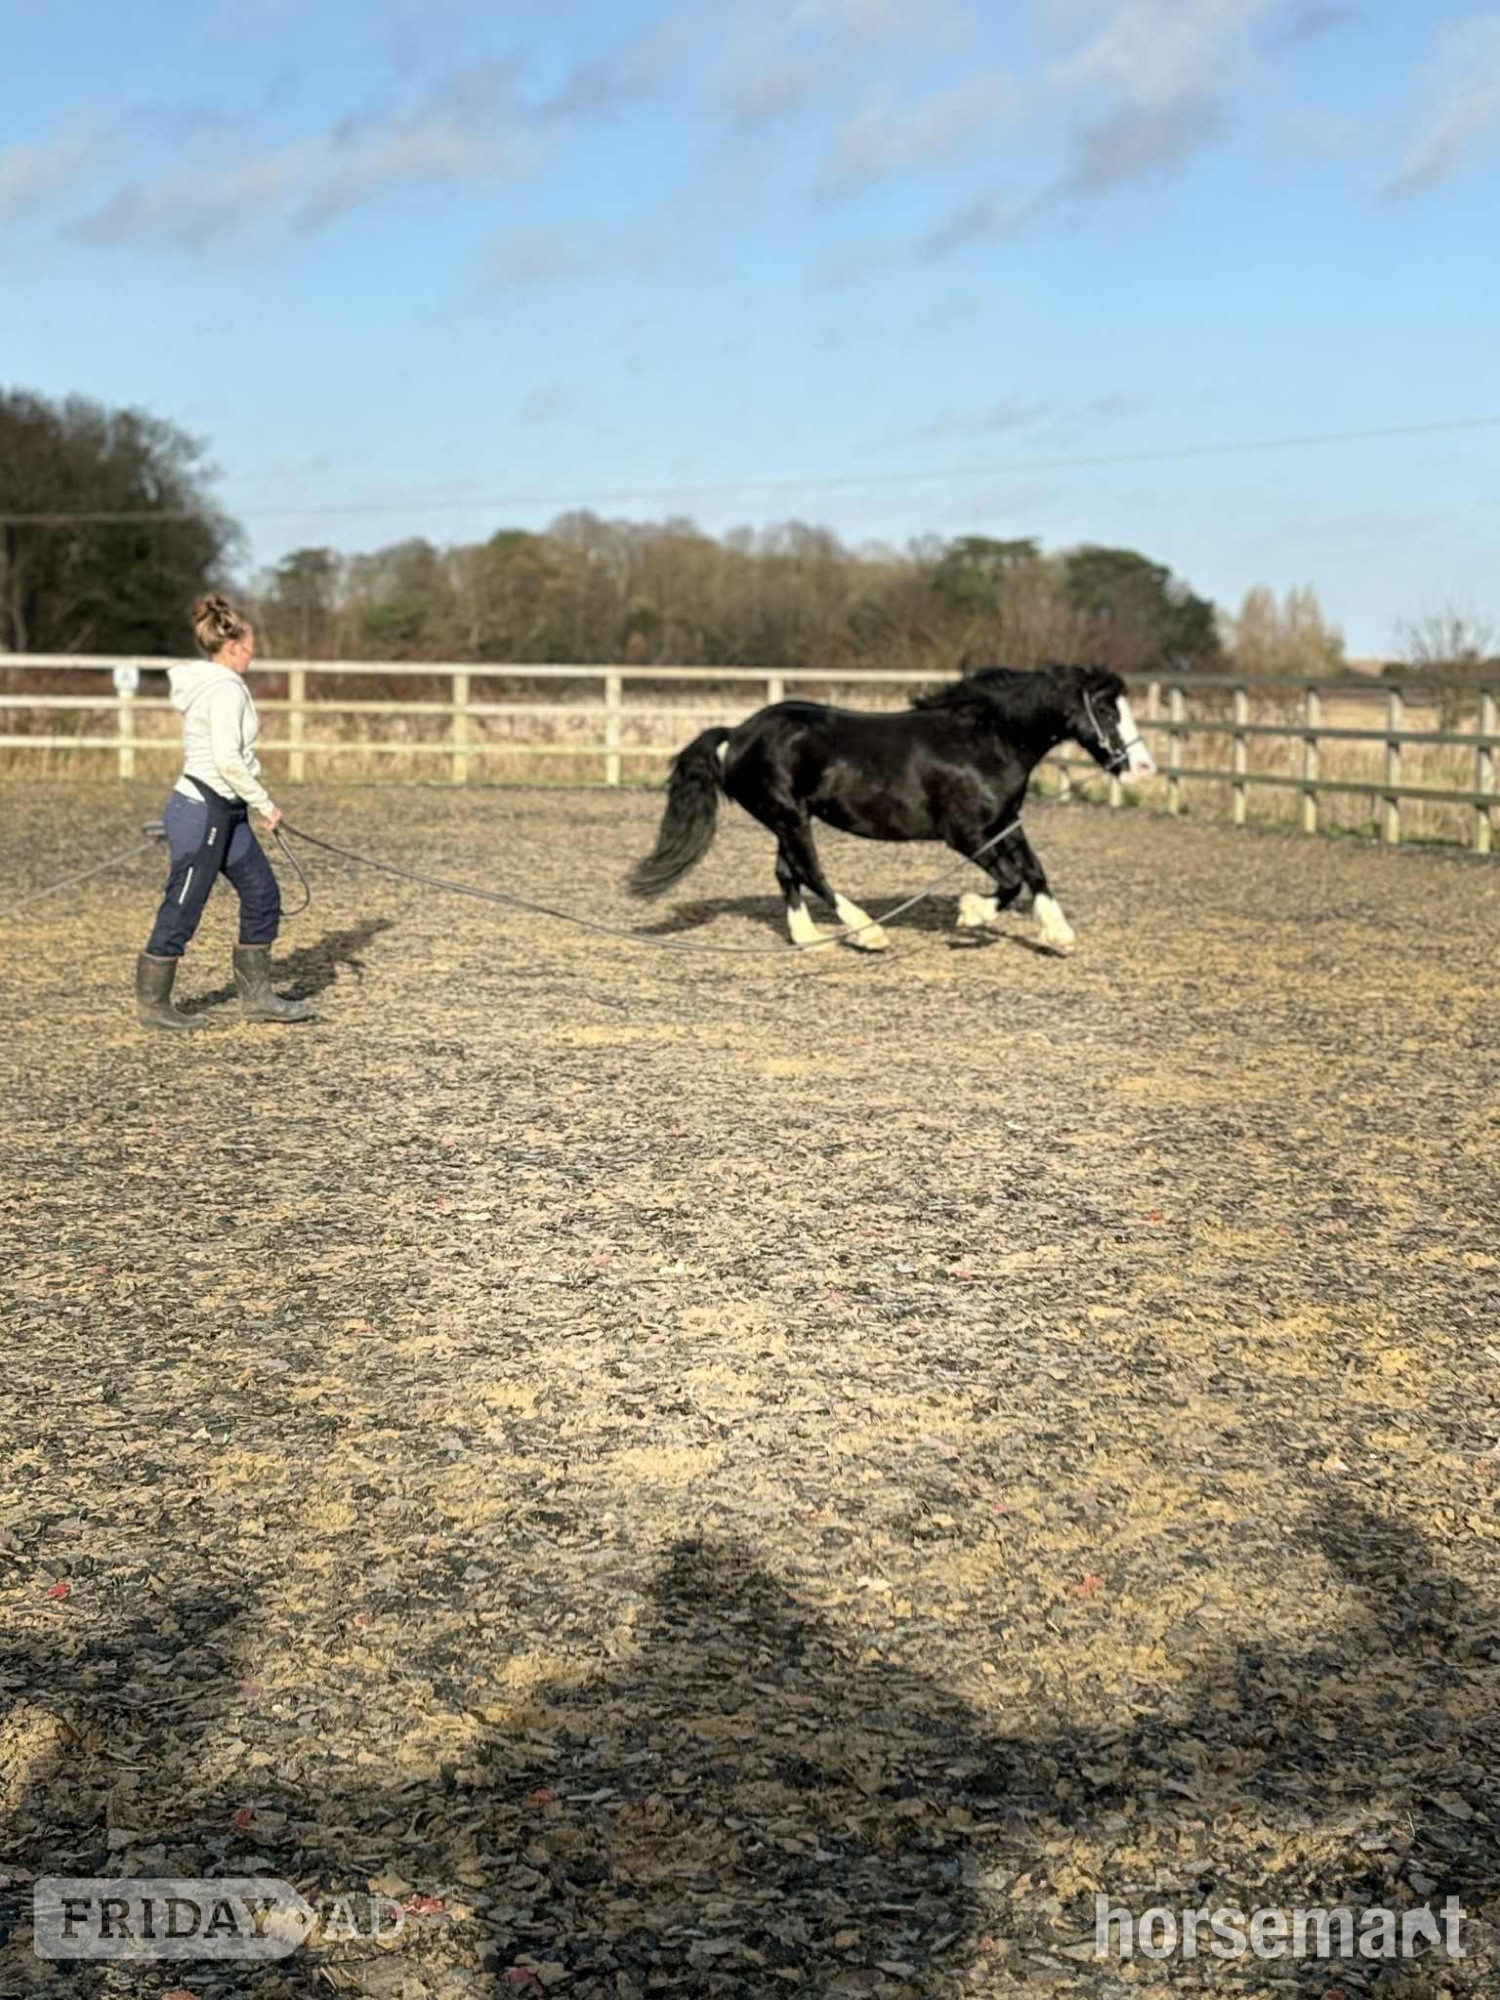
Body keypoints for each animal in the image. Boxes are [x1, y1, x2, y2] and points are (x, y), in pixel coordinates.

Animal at [627, 662, 1156, 953]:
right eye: (1106, 710)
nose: (1143, 768)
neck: (985, 742)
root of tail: (736, 734)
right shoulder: (966, 834)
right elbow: (1010, 881)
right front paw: (970, 913)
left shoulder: (1004, 824)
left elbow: (1035, 871)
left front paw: (1058, 935)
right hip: (788, 816)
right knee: (810, 872)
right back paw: (868, 933)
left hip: (788, 819)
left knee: (787, 872)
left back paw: (808, 938)